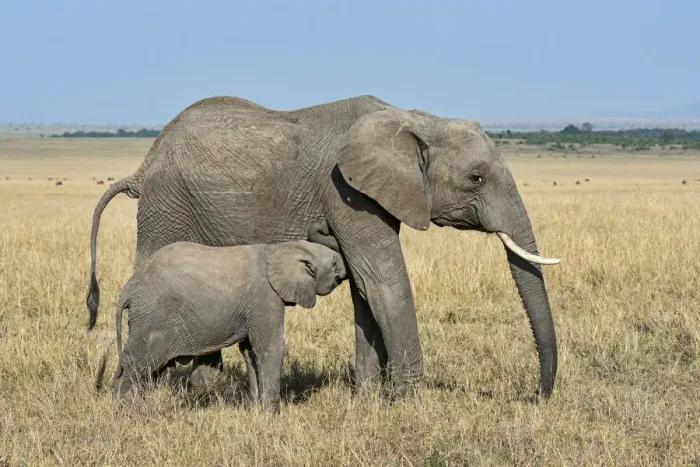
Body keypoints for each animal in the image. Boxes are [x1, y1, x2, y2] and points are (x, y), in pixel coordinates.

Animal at [111, 239, 346, 412]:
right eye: (334, 263)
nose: (344, 272)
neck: (284, 247)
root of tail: (130, 287)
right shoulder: (265, 296)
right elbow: (268, 347)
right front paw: (271, 415)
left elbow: (249, 352)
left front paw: (255, 410)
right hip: (154, 316)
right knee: (138, 361)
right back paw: (128, 408)